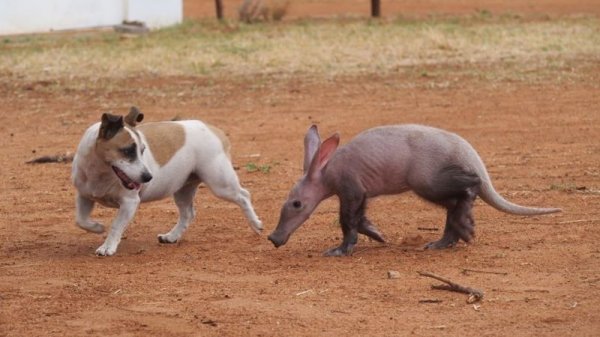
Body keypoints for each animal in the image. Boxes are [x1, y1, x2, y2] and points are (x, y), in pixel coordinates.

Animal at [71, 107, 262, 255]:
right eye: (127, 151)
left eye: (142, 150)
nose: (148, 177)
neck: (99, 172)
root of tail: (214, 129)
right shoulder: (84, 196)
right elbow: (81, 220)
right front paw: (97, 227)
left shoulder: (129, 202)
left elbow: (116, 225)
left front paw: (108, 247)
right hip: (183, 189)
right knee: (188, 214)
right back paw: (171, 237)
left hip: (221, 184)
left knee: (244, 195)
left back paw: (256, 224)